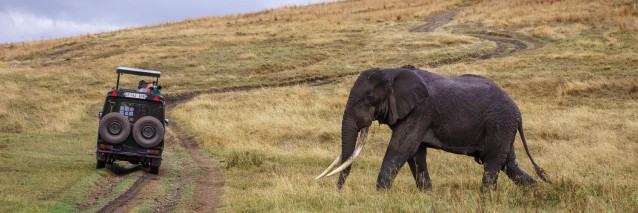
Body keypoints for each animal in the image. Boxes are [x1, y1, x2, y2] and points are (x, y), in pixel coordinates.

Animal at [318, 65, 552, 191]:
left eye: (371, 98)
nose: (338, 192)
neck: (392, 72)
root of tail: (518, 112)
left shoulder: (421, 110)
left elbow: (400, 149)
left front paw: (379, 197)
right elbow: (416, 155)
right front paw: (427, 195)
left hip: (500, 123)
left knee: (493, 163)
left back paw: (487, 200)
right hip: (503, 127)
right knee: (508, 164)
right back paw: (537, 193)